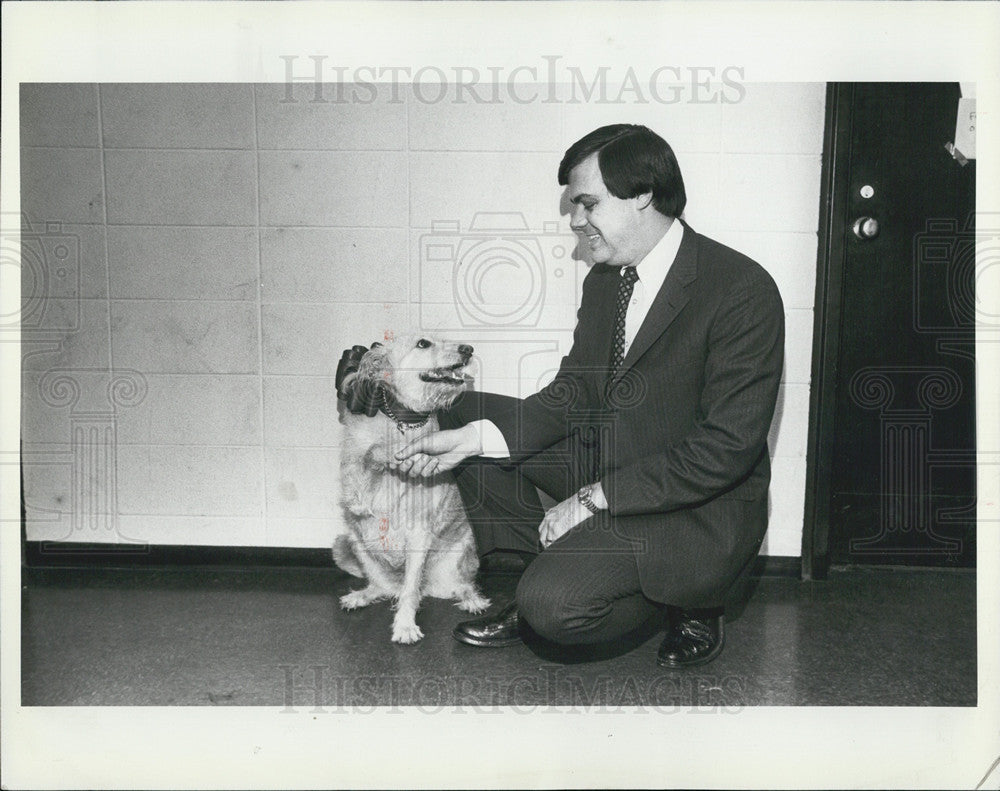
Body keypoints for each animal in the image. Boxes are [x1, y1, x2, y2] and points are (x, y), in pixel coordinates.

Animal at [334, 334, 490, 644]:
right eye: (423, 343)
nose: (468, 349)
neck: (404, 420)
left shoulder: (418, 533)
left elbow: (409, 591)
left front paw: (405, 625)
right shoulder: (357, 490)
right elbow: (371, 457)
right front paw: (387, 453)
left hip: (461, 554)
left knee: (447, 586)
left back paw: (472, 601)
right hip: (350, 542)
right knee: (381, 587)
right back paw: (362, 596)